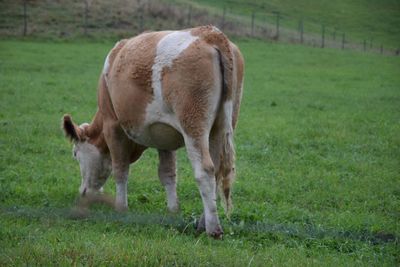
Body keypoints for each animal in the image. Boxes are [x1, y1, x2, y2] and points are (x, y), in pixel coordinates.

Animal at [62, 25, 244, 239]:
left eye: (75, 154)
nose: (82, 192)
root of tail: (210, 33)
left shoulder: (112, 125)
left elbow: (120, 169)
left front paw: (121, 208)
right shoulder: (164, 136)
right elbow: (167, 173)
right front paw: (173, 210)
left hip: (193, 125)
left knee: (205, 170)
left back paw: (213, 228)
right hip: (220, 127)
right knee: (216, 171)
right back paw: (201, 223)